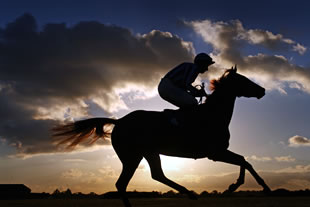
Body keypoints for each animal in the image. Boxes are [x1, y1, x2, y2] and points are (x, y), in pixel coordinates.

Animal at [52, 66, 270, 207]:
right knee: (127, 182)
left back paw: (188, 193)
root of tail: (119, 121)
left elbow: (244, 161)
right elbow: (244, 161)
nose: (263, 90)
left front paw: (240, 186)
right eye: (244, 80)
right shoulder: (215, 153)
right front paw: (246, 187)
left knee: (153, 175)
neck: (213, 115)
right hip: (133, 156)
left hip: (146, 153)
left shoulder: (218, 152)